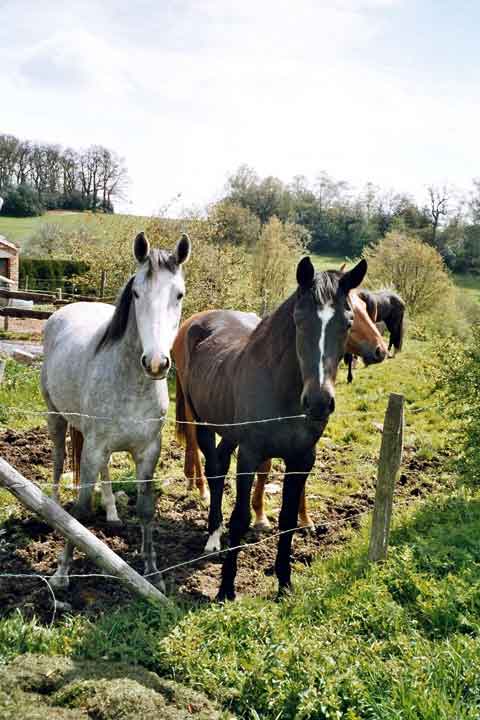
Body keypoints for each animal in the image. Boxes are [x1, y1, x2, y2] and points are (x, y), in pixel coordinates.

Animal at [40, 232, 191, 592]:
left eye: (179, 294)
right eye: (136, 293)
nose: (156, 363)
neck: (132, 385)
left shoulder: (148, 452)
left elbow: (146, 509)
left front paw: (153, 573)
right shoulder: (93, 449)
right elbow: (79, 514)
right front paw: (62, 572)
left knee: (105, 471)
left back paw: (111, 512)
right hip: (56, 418)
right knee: (57, 462)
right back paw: (53, 509)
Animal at [173, 256, 368, 600]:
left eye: (347, 322)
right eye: (299, 321)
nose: (319, 402)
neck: (283, 391)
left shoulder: (302, 459)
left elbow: (288, 519)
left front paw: (285, 584)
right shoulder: (251, 454)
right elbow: (240, 518)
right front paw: (226, 590)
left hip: (229, 430)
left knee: (220, 461)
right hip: (202, 420)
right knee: (213, 471)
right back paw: (213, 537)